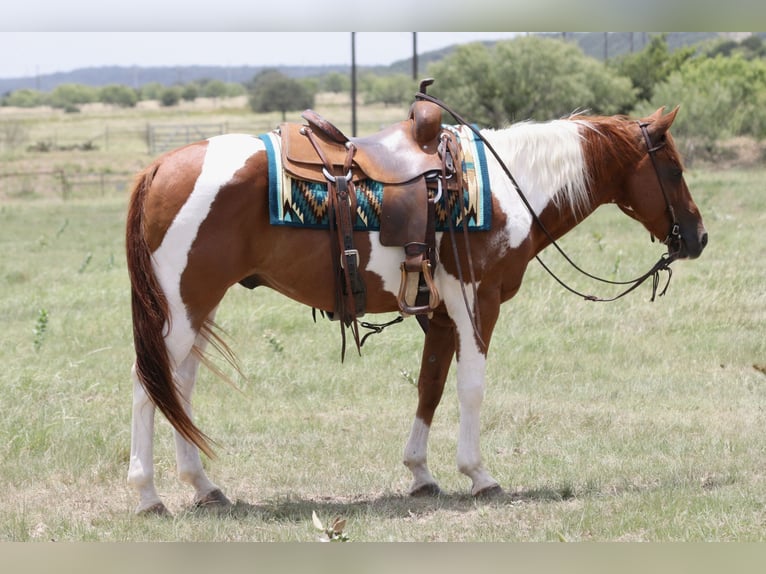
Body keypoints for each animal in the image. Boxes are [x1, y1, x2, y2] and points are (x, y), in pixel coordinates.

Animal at [125, 104, 707, 515]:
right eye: (675, 170)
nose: (698, 237)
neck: (509, 188)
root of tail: (160, 166)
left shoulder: (442, 311)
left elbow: (430, 383)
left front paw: (421, 474)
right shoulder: (477, 300)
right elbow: (471, 387)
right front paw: (479, 475)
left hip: (200, 306)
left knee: (179, 388)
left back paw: (204, 487)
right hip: (182, 307)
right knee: (148, 386)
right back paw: (148, 495)